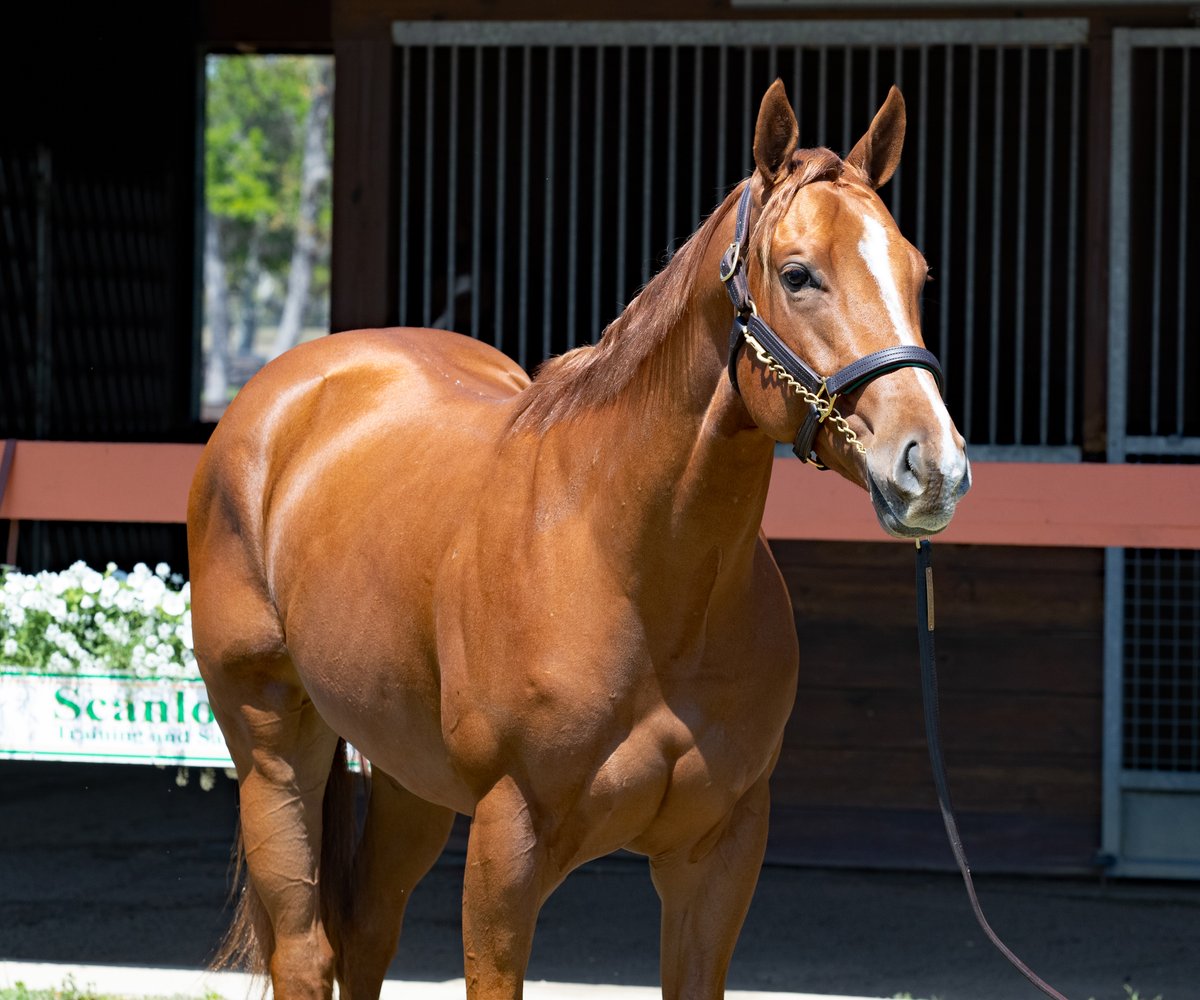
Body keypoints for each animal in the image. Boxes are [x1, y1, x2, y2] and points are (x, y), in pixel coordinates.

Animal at [187, 79, 970, 1000]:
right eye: (798, 275)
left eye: (917, 274)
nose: (934, 466)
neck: (630, 569)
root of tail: (280, 392)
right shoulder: (508, 846)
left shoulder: (720, 853)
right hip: (273, 745)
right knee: (305, 952)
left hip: (408, 770)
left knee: (369, 929)